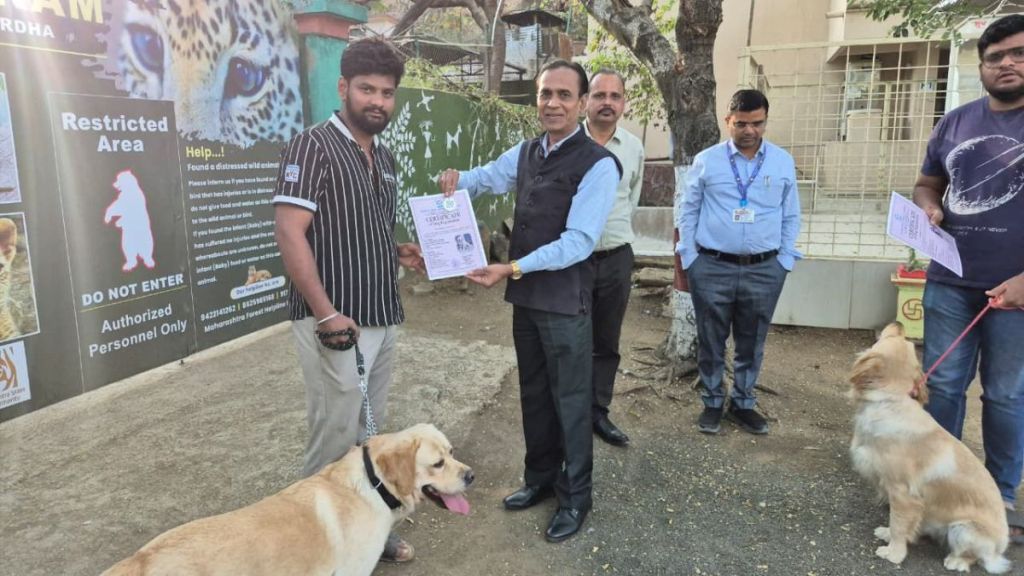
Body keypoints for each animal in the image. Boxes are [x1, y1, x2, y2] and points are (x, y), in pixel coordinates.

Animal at [848, 323, 1010, 573]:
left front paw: (894, 554)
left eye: (888, 338)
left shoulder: (903, 494)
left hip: (962, 529)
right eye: (905, 341)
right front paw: (887, 534)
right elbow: (897, 524)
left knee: (974, 557)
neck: (890, 402)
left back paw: (956, 561)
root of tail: (998, 551)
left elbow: (898, 524)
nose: (899, 324)